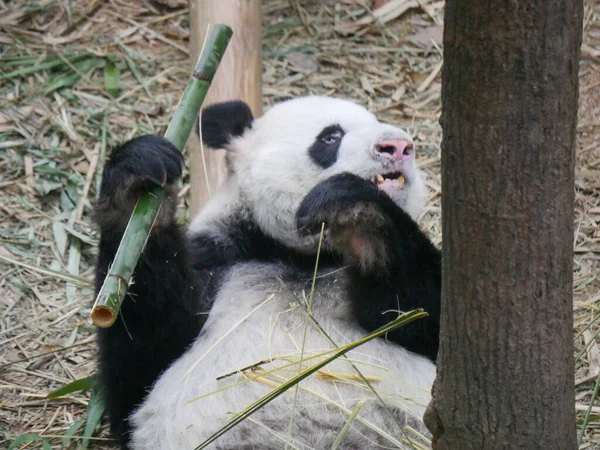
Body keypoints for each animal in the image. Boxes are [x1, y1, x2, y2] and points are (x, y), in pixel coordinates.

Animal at [94, 96, 440, 450]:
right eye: (330, 136)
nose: (397, 146)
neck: (300, 259)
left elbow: (425, 316)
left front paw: (360, 213)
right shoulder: (218, 260)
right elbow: (142, 357)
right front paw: (136, 186)